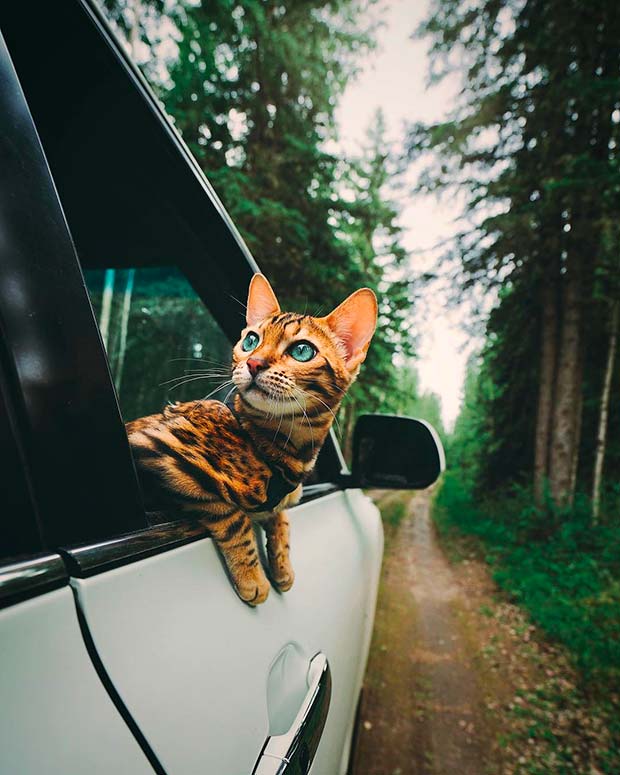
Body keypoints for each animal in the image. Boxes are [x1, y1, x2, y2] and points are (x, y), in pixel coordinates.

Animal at [128, 274, 376, 608]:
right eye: (250, 341)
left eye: (302, 351)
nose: (254, 363)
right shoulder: (158, 451)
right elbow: (232, 515)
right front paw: (253, 578)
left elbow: (281, 516)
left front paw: (282, 564)